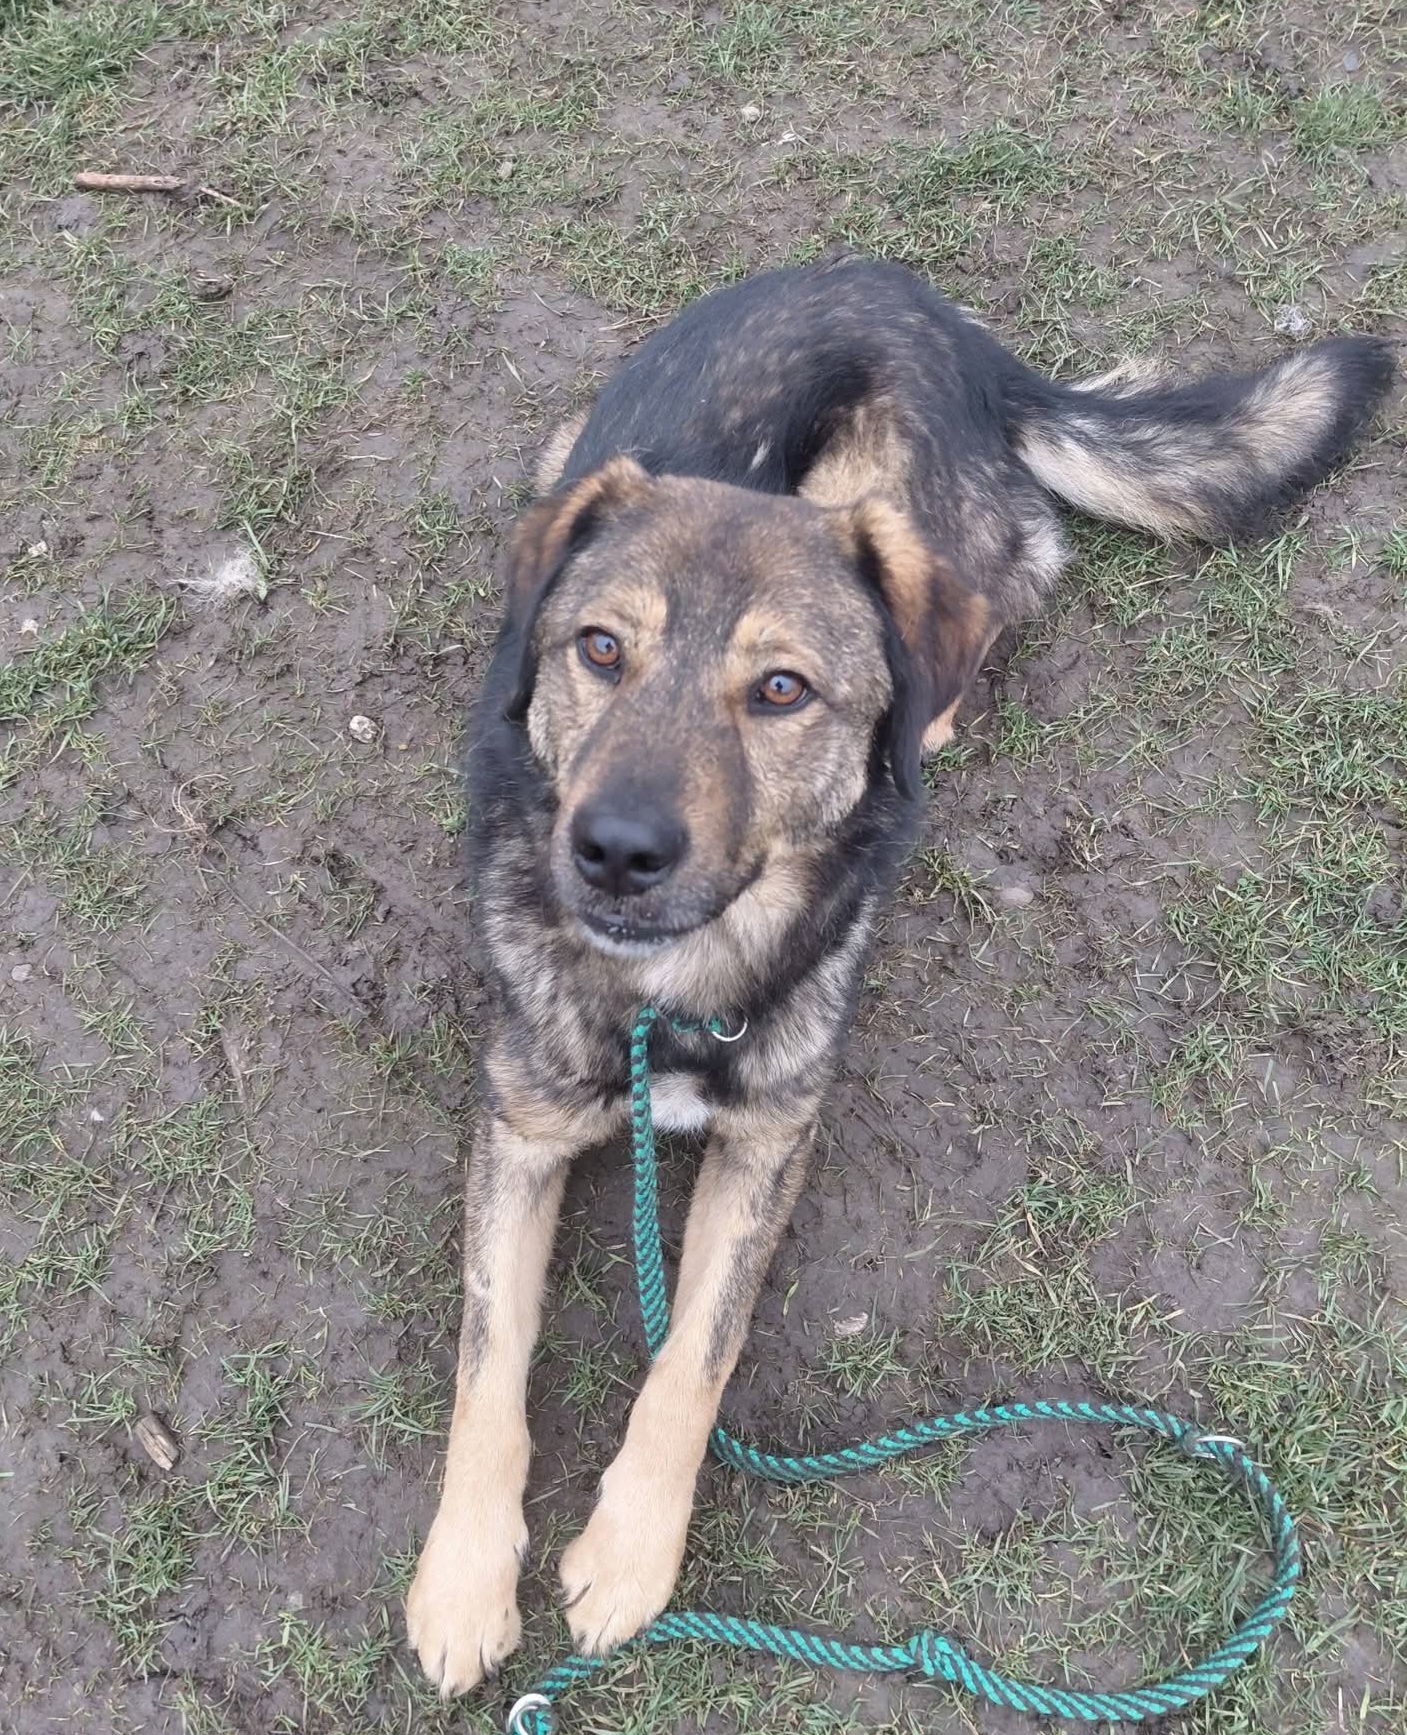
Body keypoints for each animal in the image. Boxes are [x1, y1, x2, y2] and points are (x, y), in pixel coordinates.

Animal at [405, 255, 1392, 1696]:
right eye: (597, 648)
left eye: (779, 689)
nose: (615, 852)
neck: (672, 995)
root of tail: (929, 312)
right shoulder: (520, 1128)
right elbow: (489, 1360)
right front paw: (465, 1572)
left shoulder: (772, 1142)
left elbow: (692, 1355)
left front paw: (629, 1552)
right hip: (579, 451)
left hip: (904, 509)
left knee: (978, 621)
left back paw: (927, 717)